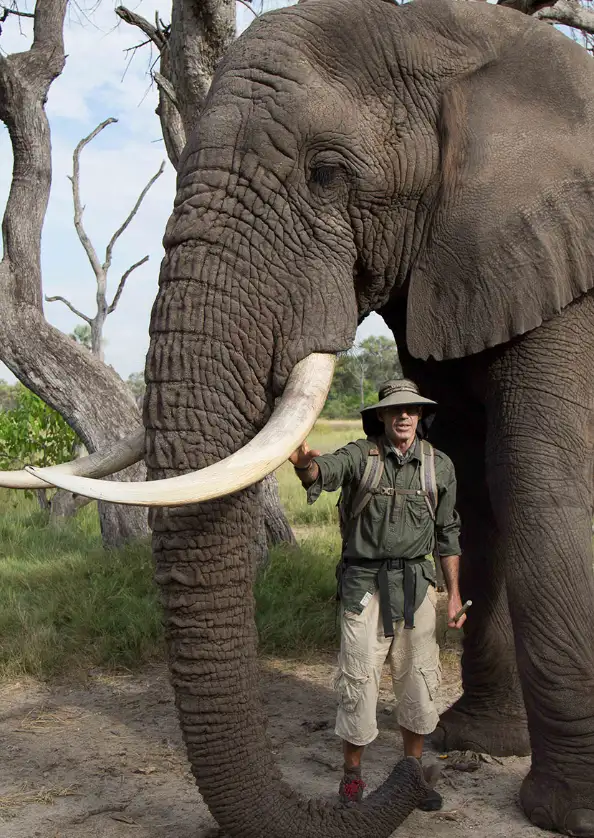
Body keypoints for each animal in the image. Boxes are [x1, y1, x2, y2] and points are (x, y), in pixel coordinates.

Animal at [6, 0, 594, 834]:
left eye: (326, 173)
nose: (423, 780)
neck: (449, 38)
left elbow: (537, 484)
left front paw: (563, 813)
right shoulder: (461, 263)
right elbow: (473, 492)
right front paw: (472, 745)